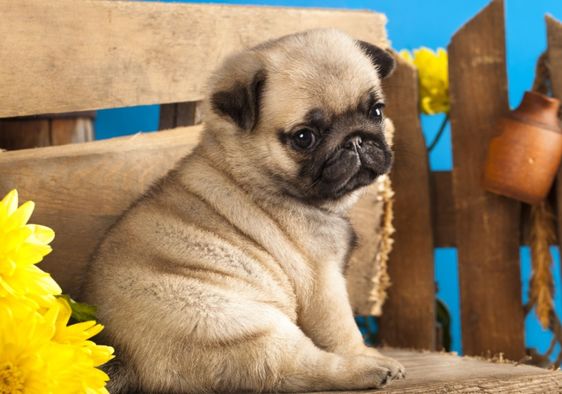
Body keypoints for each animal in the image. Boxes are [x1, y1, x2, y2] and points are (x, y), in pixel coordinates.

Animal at [82, 28, 402, 394]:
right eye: (304, 137)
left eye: (376, 111)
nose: (356, 140)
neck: (253, 172)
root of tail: (127, 361)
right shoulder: (323, 282)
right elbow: (343, 331)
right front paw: (364, 353)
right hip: (248, 325)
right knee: (303, 368)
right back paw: (369, 368)